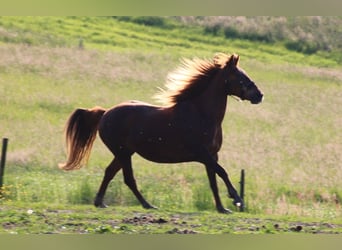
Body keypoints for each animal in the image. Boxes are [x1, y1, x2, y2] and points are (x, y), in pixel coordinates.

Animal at [58, 52, 264, 213]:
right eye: (241, 77)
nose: (259, 95)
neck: (201, 114)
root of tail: (105, 113)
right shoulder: (203, 153)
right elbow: (222, 172)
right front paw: (237, 199)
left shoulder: (212, 155)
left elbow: (213, 180)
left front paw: (222, 208)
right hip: (123, 153)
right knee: (128, 178)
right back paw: (147, 205)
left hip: (124, 153)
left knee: (110, 172)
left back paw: (101, 202)